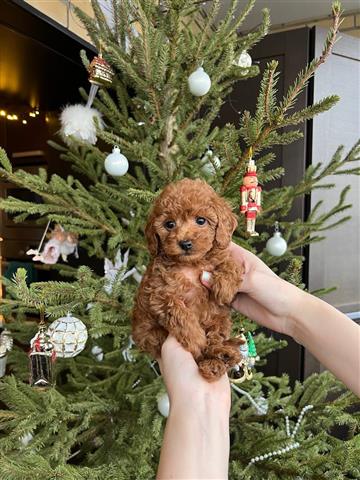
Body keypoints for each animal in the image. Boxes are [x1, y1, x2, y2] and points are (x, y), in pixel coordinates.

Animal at [132, 178, 245, 380]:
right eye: (169, 224)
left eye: (201, 220)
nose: (185, 243)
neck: (191, 264)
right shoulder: (159, 294)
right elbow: (179, 312)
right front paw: (196, 339)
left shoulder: (218, 259)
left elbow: (230, 263)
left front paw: (225, 287)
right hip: (153, 335)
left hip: (220, 319)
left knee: (216, 339)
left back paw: (221, 357)